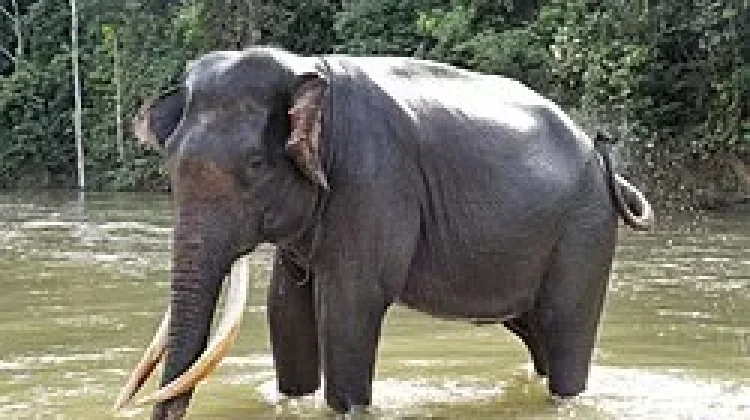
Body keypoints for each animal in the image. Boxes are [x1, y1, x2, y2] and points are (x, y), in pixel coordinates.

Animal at [114, 46, 653, 419]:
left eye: (255, 165)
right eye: (170, 165)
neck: (309, 73)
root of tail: (604, 163)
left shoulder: (372, 183)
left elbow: (350, 307)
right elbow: (286, 308)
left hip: (583, 233)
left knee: (564, 333)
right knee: (536, 335)